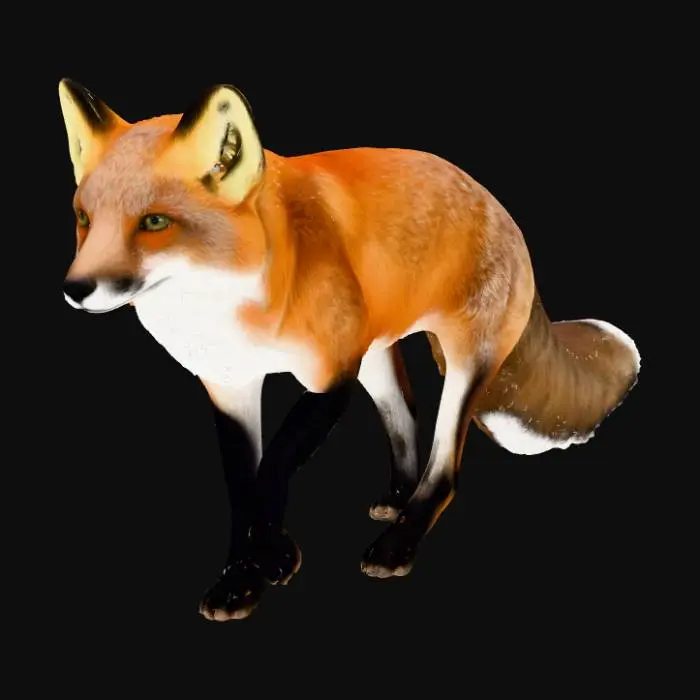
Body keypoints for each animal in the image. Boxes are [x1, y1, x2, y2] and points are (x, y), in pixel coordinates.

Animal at [59, 79, 640, 621]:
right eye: (84, 219)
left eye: (154, 222)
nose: (75, 289)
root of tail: (495, 203)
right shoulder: (229, 387)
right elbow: (244, 489)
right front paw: (248, 574)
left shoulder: (330, 377)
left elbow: (272, 470)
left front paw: (264, 562)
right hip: (376, 361)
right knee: (406, 418)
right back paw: (397, 500)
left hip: (459, 364)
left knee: (444, 469)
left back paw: (398, 544)